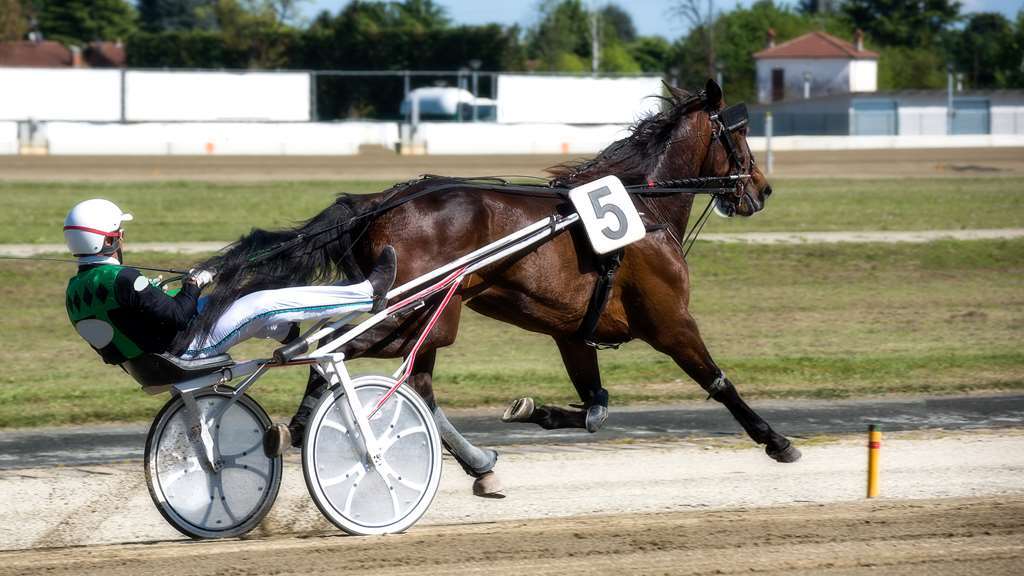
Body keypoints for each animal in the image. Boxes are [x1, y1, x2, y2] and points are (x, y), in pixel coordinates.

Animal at [188, 79, 802, 494]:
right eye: (739, 133)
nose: (762, 188)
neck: (643, 207)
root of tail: (380, 203)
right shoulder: (670, 320)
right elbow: (718, 383)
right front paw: (776, 440)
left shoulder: (573, 333)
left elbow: (596, 407)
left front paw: (534, 410)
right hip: (418, 311)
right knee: (335, 353)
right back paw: (303, 423)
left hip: (430, 316)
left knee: (412, 382)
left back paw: (477, 464)